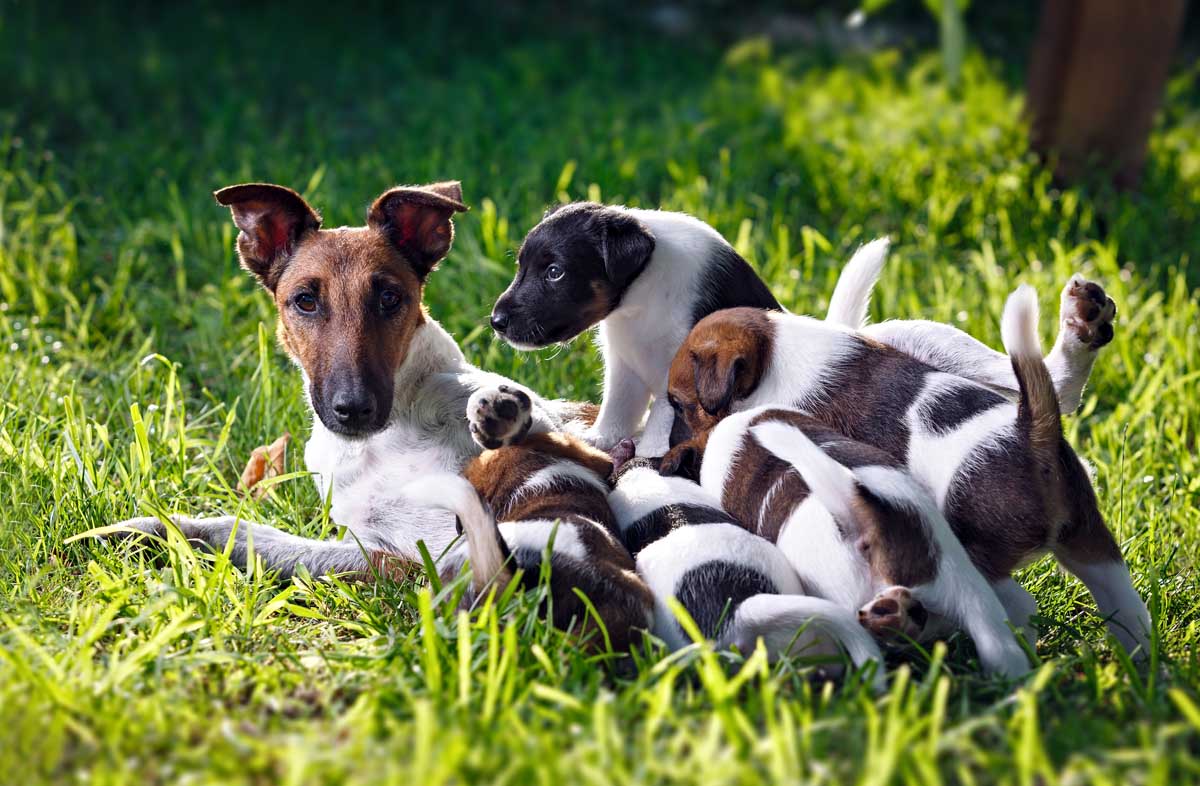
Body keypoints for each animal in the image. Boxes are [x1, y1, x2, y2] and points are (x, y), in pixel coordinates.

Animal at [113, 182, 595, 578]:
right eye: (305, 301)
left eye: (389, 298)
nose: (353, 409)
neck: (380, 442)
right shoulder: (378, 549)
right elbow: (245, 534)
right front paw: (147, 531)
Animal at [487, 202, 1113, 458]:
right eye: (524, 265)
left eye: (554, 271)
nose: (495, 321)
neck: (641, 295)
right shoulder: (623, 370)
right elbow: (616, 415)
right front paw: (599, 442)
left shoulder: (674, 379)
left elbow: (659, 426)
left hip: (933, 341)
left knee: (1054, 388)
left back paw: (1083, 323)